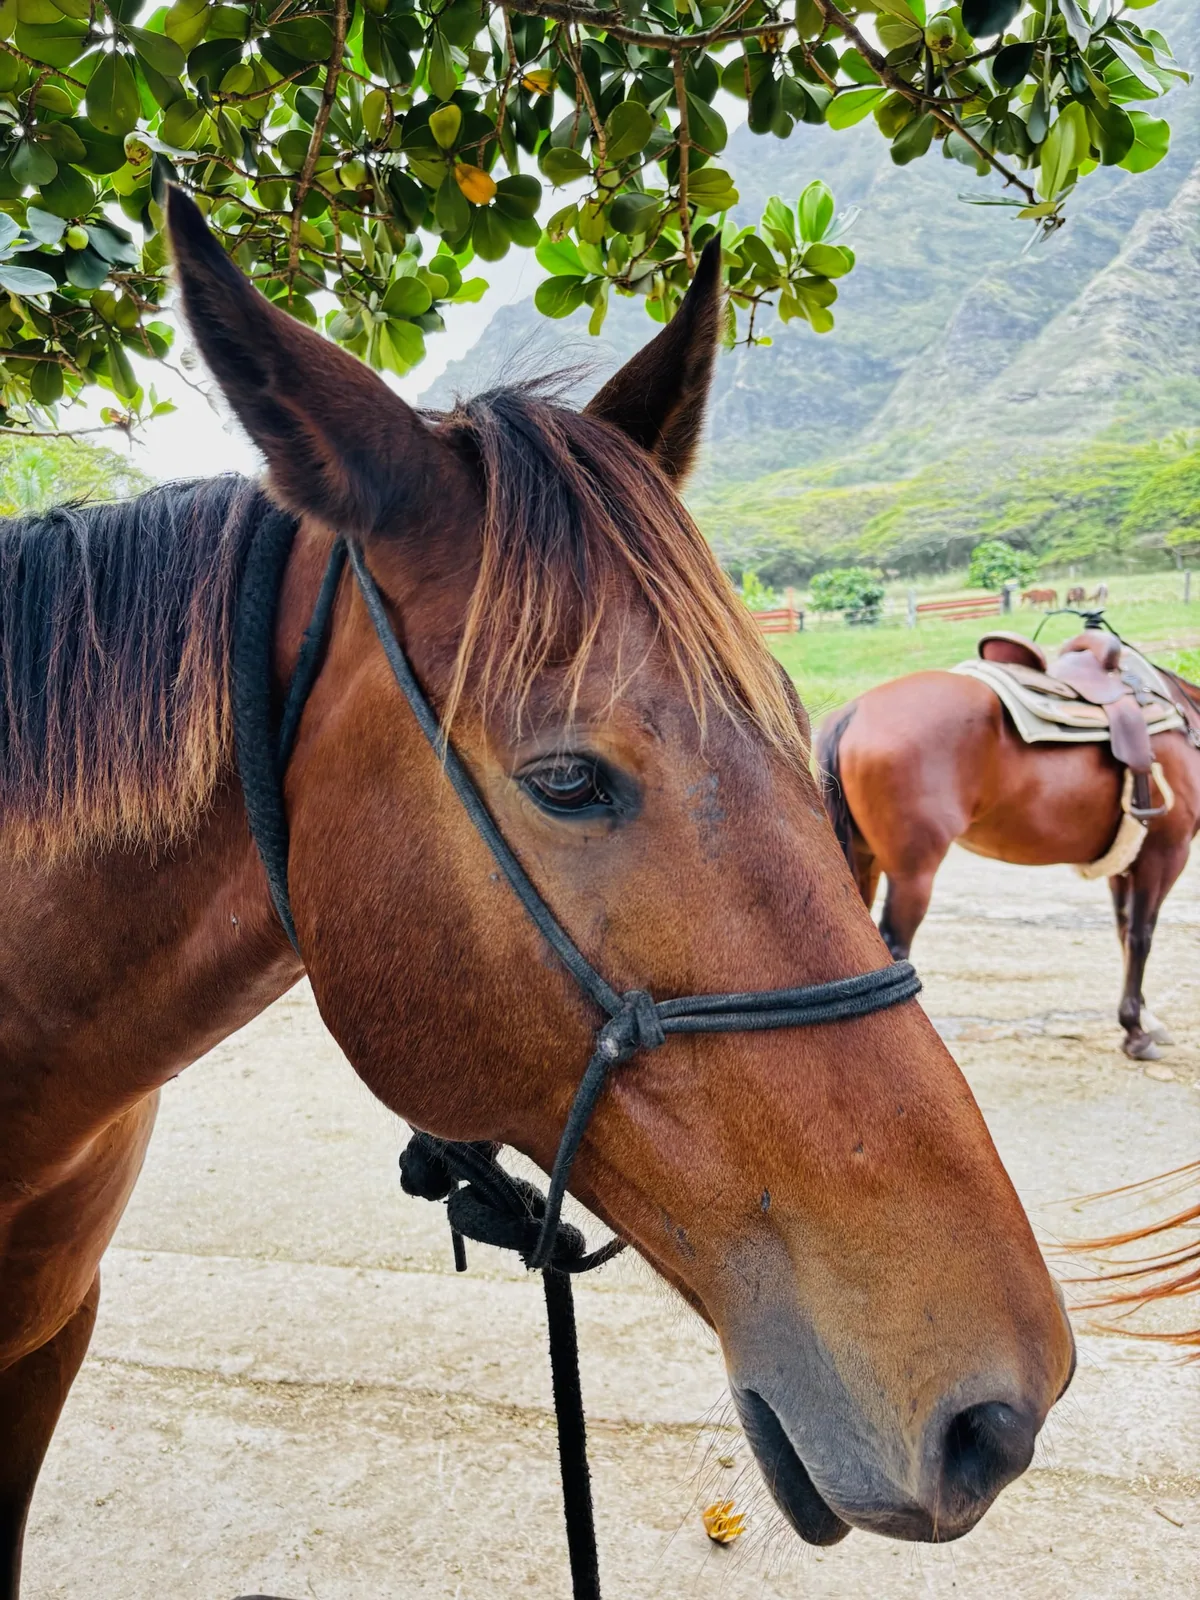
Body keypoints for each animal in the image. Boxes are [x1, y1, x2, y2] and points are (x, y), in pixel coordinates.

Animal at [818, 664, 1200, 1061]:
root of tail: (853, 712)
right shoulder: (1165, 854)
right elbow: (1141, 937)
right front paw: (1135, 1031)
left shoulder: (1125, 864)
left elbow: (1125, 933)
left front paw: (1144, 1016)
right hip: (913, 875)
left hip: (865, 862)